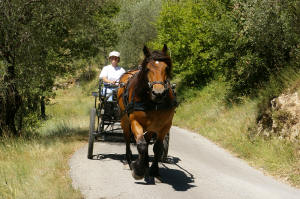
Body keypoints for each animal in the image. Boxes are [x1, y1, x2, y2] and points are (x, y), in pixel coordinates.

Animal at [117, 44, 177, 181]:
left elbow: (157, 148)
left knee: (148, 140)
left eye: (166, 68)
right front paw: (138, 170)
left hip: (151, 126)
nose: (158, 93)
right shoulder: (135, 121)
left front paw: (154, 170)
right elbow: (141, 145)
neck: (152, 103)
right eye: (148, 69)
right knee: (127, 138)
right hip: (125, 119)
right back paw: (130, 159)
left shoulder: (165, 125)